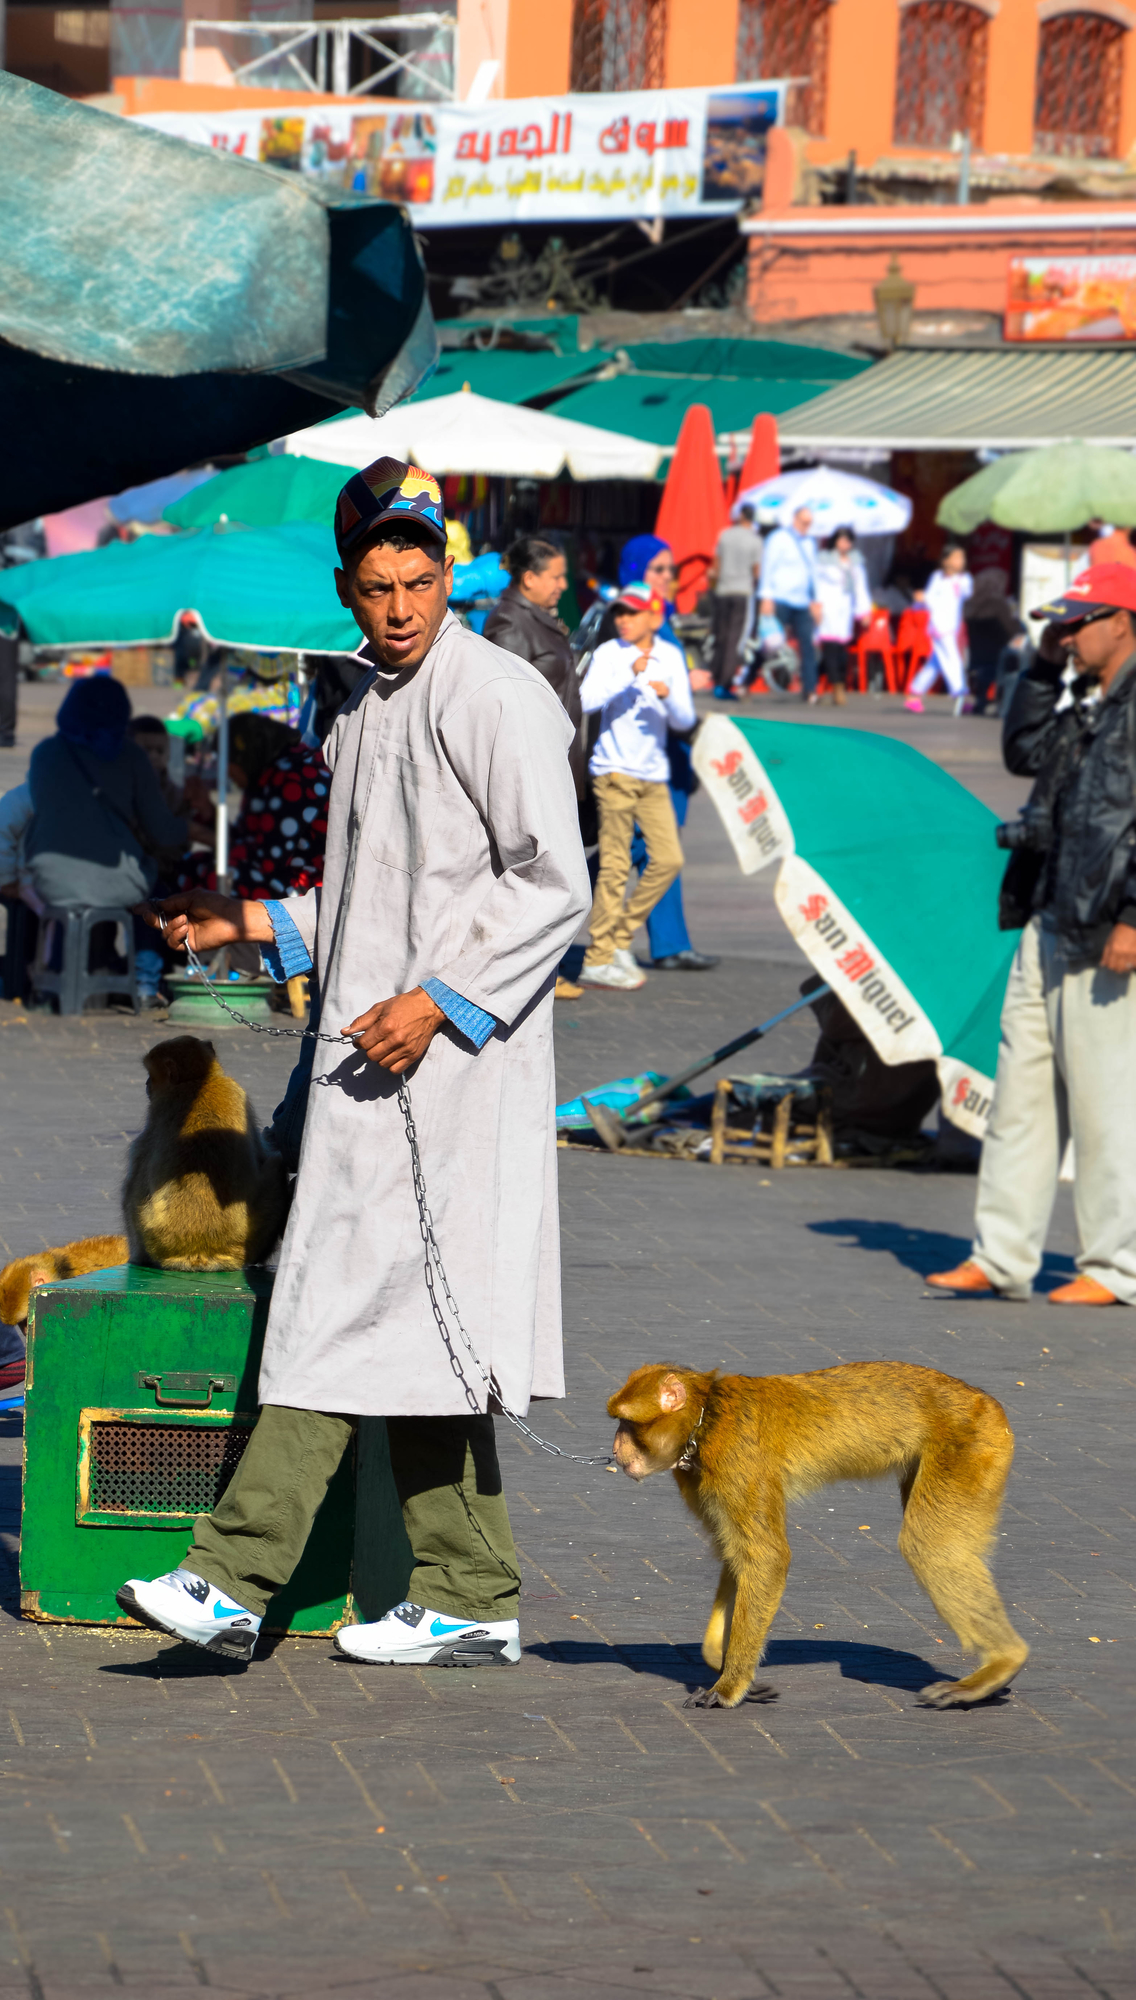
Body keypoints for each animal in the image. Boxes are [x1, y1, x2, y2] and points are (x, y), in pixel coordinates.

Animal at [122, 1040, 290, 1272]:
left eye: (151, 1075)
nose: (147, 1084)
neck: (199, 1081)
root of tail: (200, 1252)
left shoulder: (158, 1110)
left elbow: (137, 1165)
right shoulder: (238, 1092)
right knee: (277, 1162)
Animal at [612, 1368, 1032, 1712]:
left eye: (627, 1423)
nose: (615, 1449)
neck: (706, 1416)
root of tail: (985, 1400)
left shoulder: (735, 1461)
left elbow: (766, 1557)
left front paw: (730, 1686)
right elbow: (739, 1554)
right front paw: (723, 1661)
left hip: (971, 1448)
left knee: (930, 1546)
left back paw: (1002, 1662)